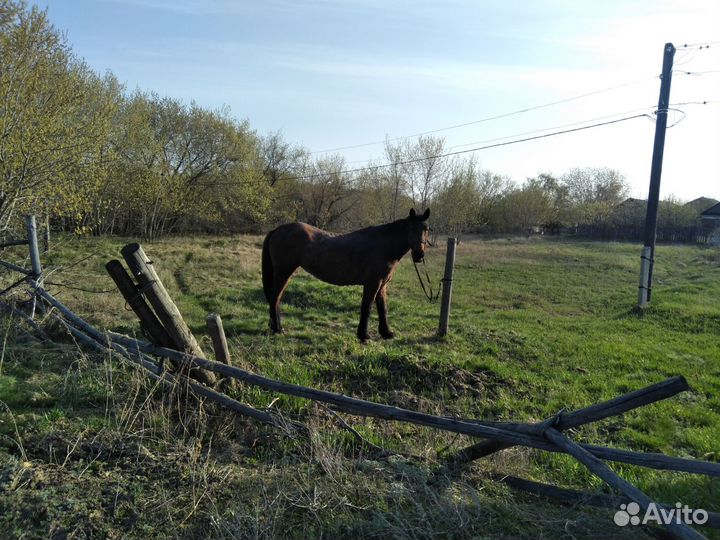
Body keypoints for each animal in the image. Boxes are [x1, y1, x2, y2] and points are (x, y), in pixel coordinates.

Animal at [261, 208, 431, 341]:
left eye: (426, 228)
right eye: (411, 228)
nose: (419, 255)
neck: (384, 246)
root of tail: (277, 230)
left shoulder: (382, 284)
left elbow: (382, 308)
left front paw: (386, 333)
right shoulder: (372, 283)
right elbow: (367, 307)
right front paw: (364, 335)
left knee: (276, 297)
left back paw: (276, 327)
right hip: (284, 272)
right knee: (275, 296)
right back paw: (277, 329)